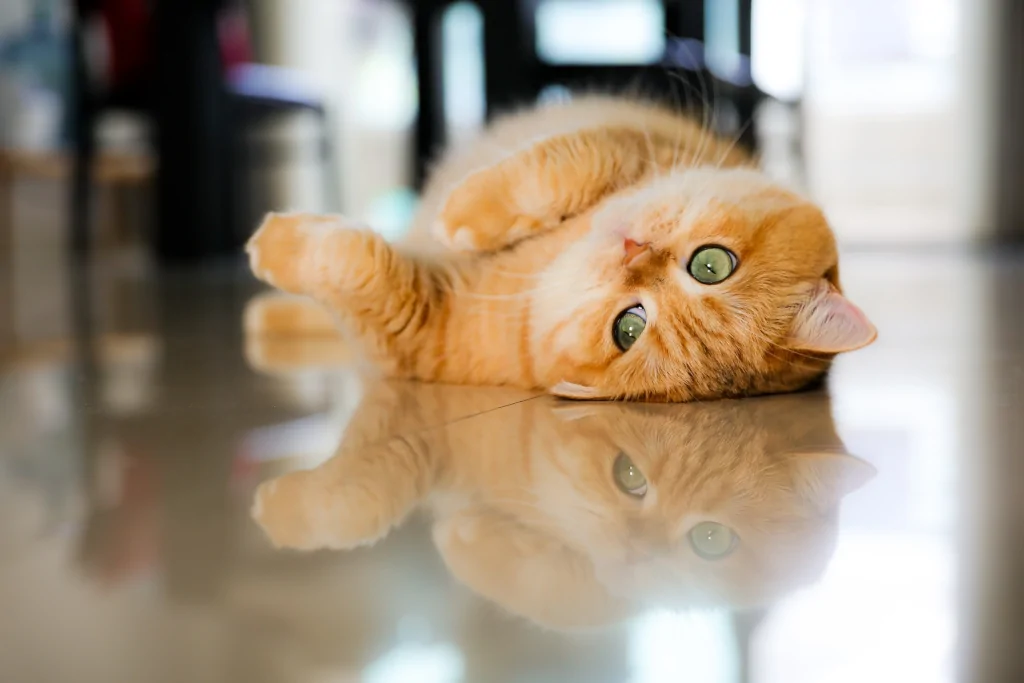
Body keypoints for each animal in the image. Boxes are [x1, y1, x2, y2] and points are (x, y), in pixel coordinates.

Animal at [245, 96, 872, 401]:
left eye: (629, 328)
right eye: (712, 264)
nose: (633, 254)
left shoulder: (414, 323)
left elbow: (353, 263)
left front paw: (273, 244)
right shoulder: (624, 149)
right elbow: (551, 171)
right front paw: (468, 210)